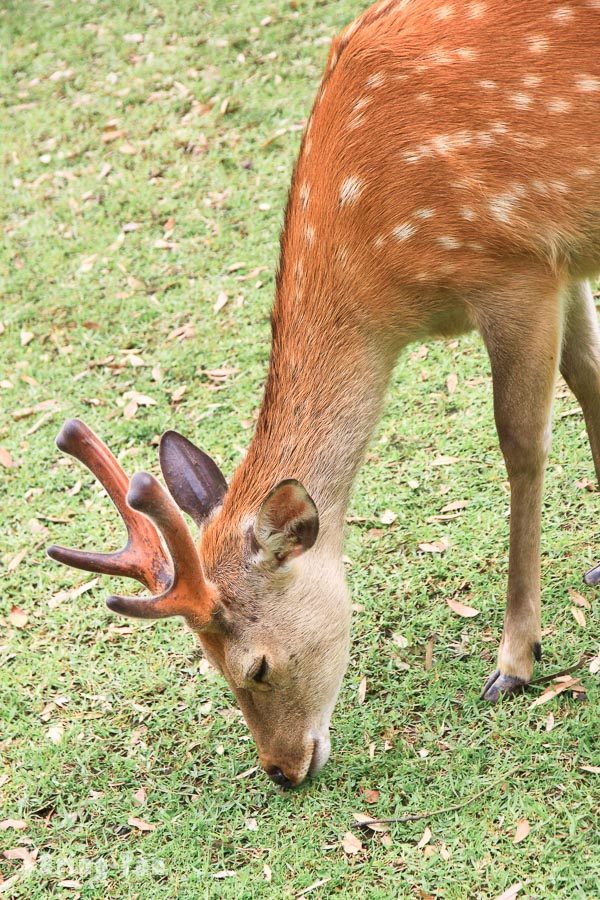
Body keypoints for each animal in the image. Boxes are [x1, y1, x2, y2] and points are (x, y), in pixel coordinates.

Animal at [49, 0, 600, 788]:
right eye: (210, 666)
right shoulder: (566, 262)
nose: (281, 770)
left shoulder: (515, 268)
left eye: (256, 666)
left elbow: (522, 446)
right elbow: (592, 380)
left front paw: (516, 660)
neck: (386, 285)